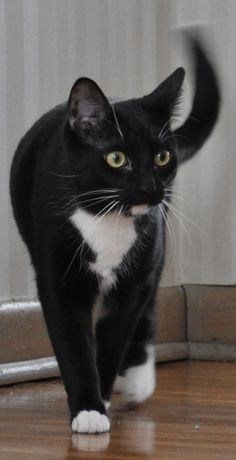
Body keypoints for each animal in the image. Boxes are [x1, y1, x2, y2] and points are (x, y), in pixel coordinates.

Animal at [10, 34, 220, 434]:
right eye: (116, 158)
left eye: (162, 158)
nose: (149, 190)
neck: (107, 218)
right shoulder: (58, 279)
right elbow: (73, 343)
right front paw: (87, 408)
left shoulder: (136, 273)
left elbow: (114, 337)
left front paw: (101, 397)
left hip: (156, 249)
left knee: (147, 306)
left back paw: (138, 378)